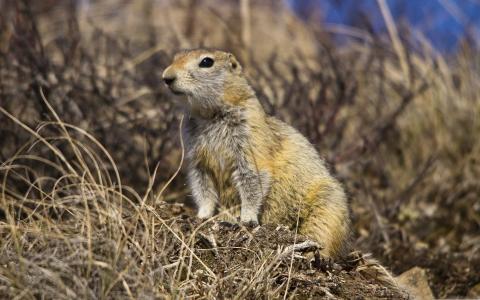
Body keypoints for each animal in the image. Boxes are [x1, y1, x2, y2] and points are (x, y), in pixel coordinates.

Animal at [163, 48, 350, 258]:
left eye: (206, 62)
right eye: (175, 57)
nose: (166, 77)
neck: (209, 115)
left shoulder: (250, 139)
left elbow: (253, 177)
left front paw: (247, 219)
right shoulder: (197, 159)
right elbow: (202, 186)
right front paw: (202, 215)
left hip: (327, 206)